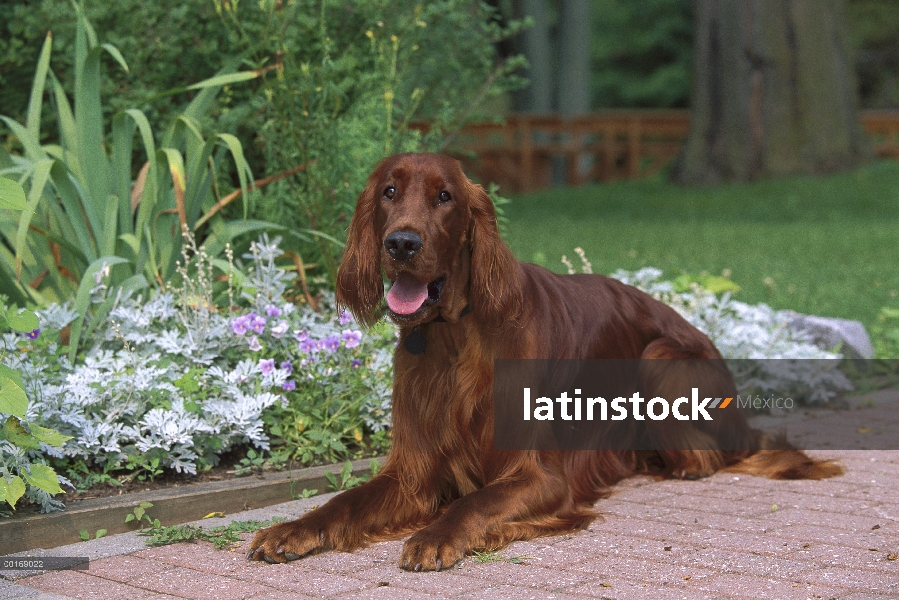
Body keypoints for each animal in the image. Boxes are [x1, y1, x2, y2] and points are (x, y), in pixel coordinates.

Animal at [248, 152, 844, 568]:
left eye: (444, 197)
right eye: (389, 191)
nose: (401, 243)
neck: (455, 334)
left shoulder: (542, 478)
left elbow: (473, 503)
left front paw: (436, 536)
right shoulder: (411, 473)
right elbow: (343, 502)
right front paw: (290, 530)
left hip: (661, 356)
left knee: (705, 454)